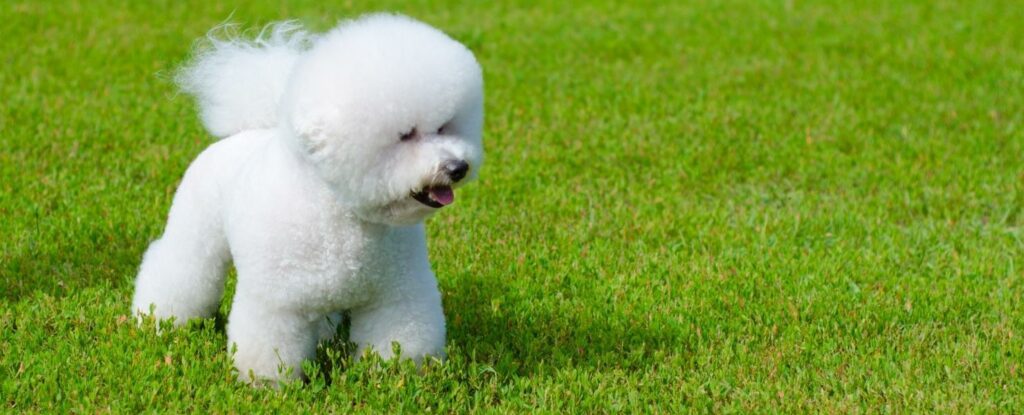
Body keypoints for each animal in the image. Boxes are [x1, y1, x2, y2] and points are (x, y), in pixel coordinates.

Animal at [132, 12, 483, 381]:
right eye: (405, 135)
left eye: (444, 127)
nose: (458, 167)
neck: (342, 214)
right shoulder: (278, 301)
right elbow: (271, 347)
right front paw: (268, 384)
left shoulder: (397, 292)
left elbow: (399, 335)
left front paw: (394, 376)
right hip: (195, 231)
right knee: (179, 267)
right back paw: (158, 320)